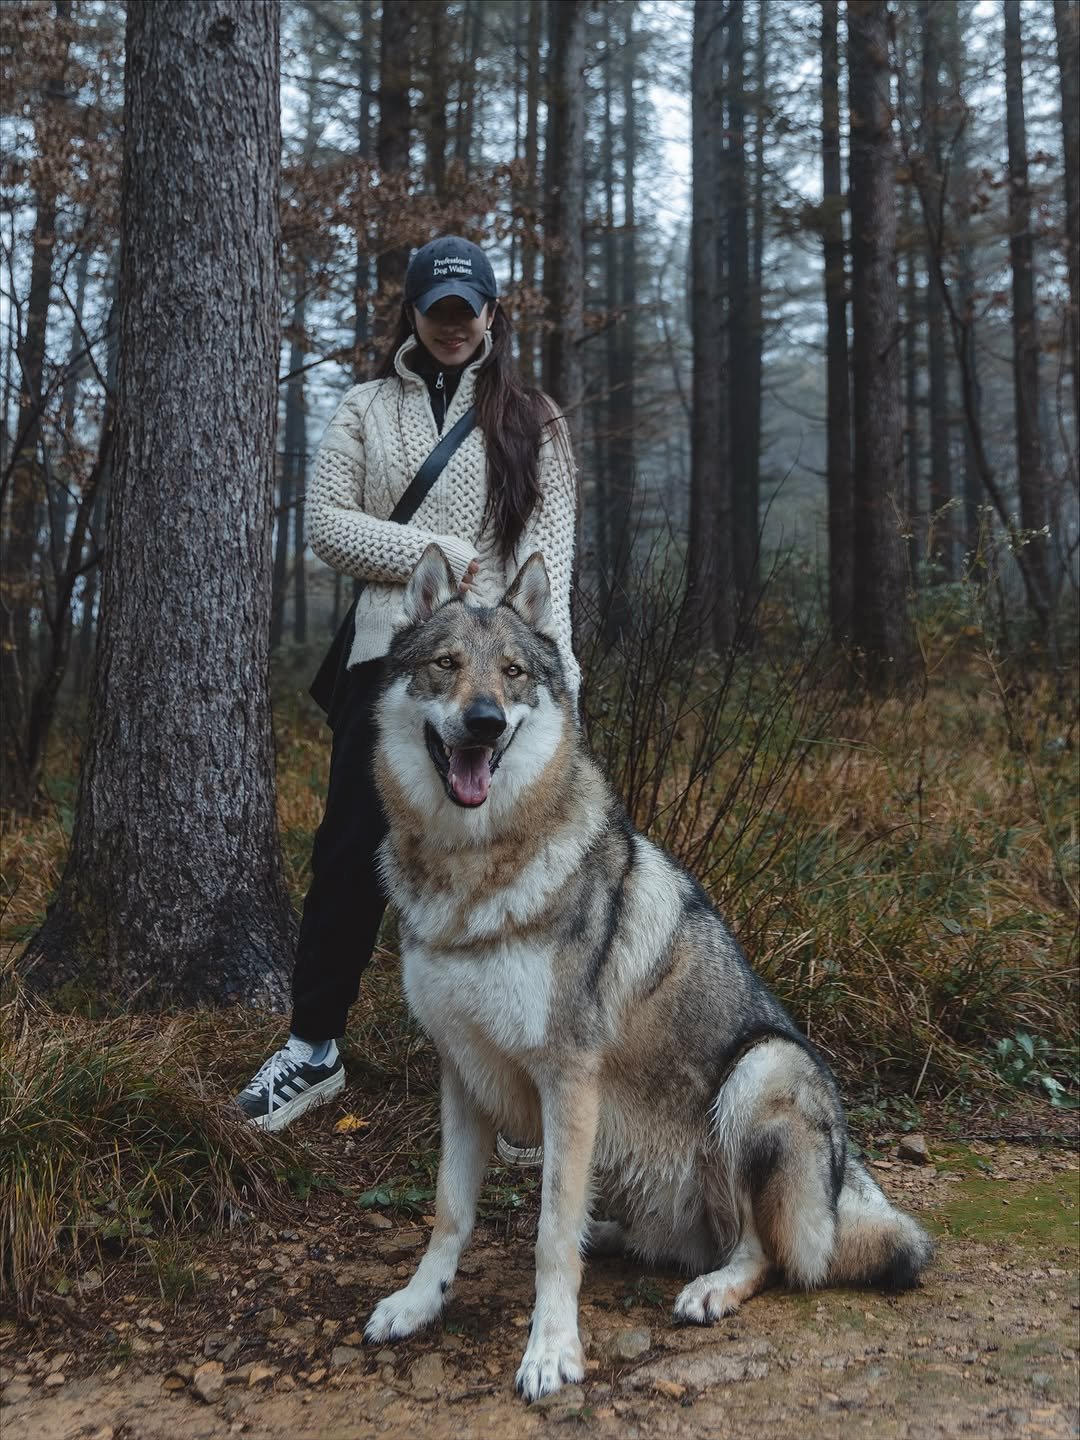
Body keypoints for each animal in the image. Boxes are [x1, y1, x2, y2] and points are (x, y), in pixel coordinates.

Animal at [363, 545, 933, 1402]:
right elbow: (451, 1212)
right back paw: (617, 1236)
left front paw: (552, 1352)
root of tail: (840, 1192)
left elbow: (548, 1238)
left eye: (512, 673)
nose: (485, 721)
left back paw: (713, 1288)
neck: (472, 873)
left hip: (760, 1072)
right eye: (446, 664)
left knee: (769, 1255)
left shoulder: (569, 1078)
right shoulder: (461, 1073)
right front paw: (417, 1302)